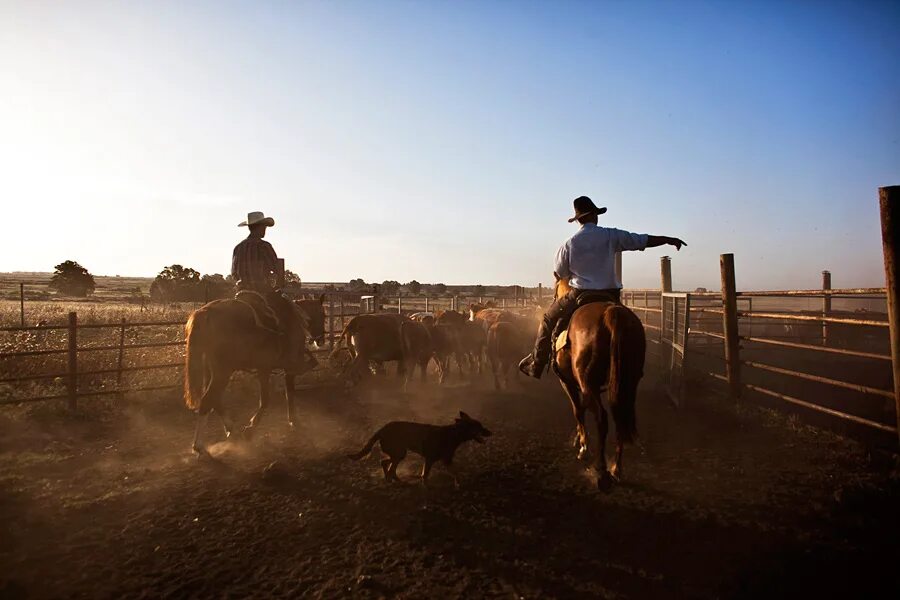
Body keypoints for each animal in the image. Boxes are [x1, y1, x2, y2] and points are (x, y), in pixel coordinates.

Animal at [181, 292, 326, 454]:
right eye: (323, 315)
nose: (321, 340)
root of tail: (205, 313)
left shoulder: (266, 369)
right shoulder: (277, 368)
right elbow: (275, 398)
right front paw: (252, 429)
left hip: (212, 370)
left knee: (215, 400)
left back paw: (231, 429)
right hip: (222, 371)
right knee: (208, 400)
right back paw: (199, 444)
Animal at [552, 276, 644, 488]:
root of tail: (612, 312)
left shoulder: (568, 382)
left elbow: (577, 409)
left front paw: (582, 446)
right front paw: (578, 438)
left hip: (588, 383)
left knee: (602, 418)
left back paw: (600, 468)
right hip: (628, 384)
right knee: (620, 417)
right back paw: (616, 469)